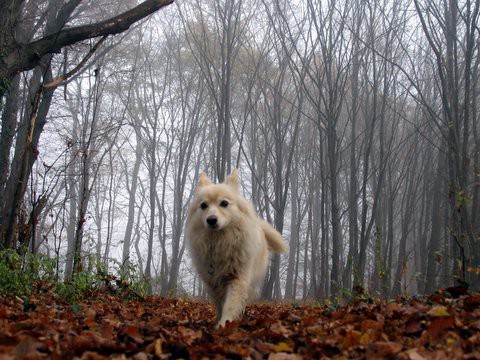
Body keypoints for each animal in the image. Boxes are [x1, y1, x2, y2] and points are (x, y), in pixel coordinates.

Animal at [186, 169, 286, 326]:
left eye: (224, 203)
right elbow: (220, 304)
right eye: (203, 205)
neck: (220, 242)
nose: (211, 220)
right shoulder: (213, 283)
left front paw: (224, 324)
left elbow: (231, 304)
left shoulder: (237, 278)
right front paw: (219, 320)